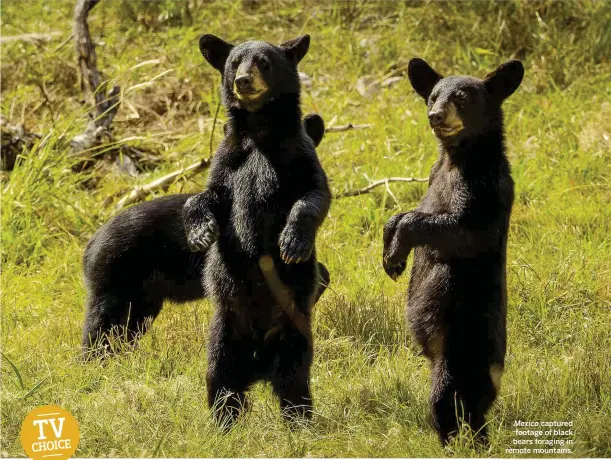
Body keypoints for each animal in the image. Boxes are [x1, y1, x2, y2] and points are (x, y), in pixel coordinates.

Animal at [184, 34, 332, 426]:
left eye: (264, 62)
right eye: (235, 62)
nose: (243, 81)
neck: (260, 130)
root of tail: (259, 364)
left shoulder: (298, 153)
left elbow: (314, 194)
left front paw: (292, 243)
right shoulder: (229, 159)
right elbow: (208, 194)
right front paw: (200, 232)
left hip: (294, 331)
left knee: (294, 378)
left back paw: (300, 421)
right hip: (224, 331)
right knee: (219, 378)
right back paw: (223, 423)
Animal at [384, 58, 524, 446]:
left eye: (461, 98)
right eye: (433, 95)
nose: (435, 115)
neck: (457, 158)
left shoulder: (483, 187)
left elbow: (460, 229)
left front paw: (397, 252)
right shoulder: (433, 177)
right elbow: (410, 210)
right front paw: (389, 251)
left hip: (460, 351)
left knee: (448, 402)